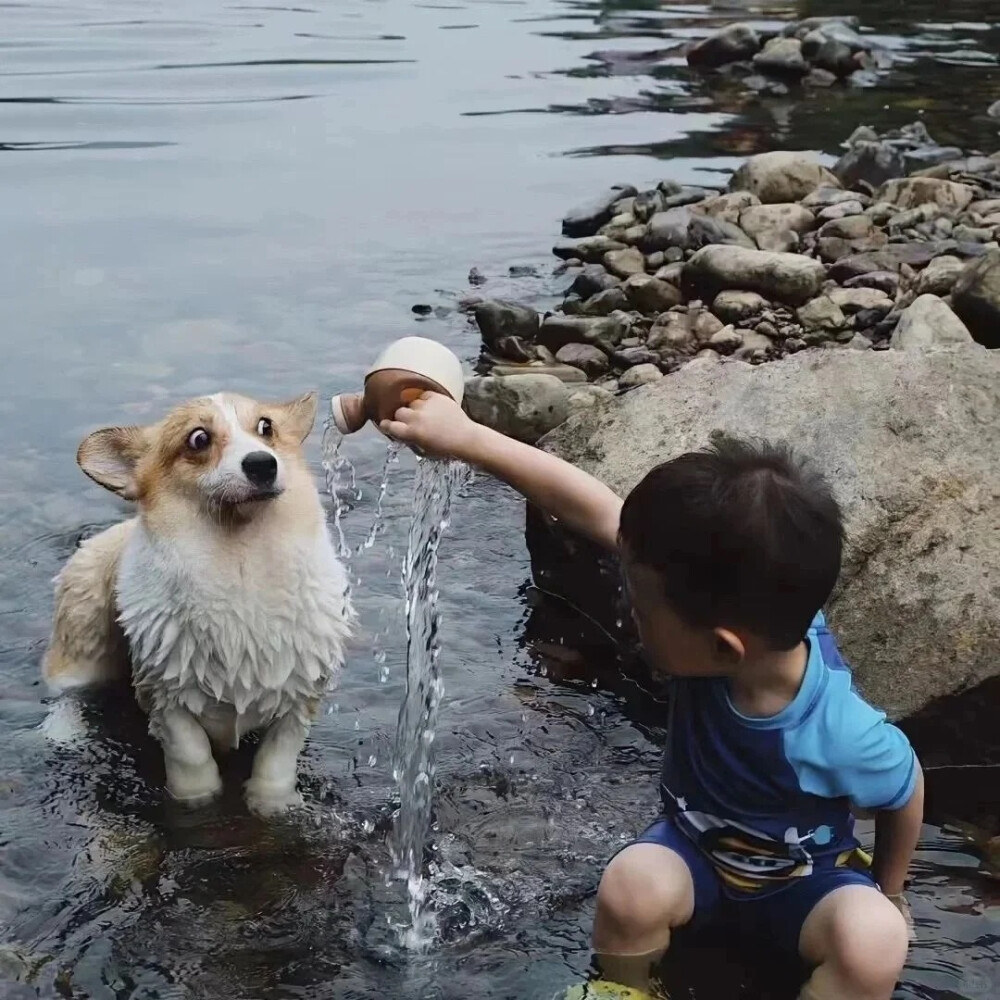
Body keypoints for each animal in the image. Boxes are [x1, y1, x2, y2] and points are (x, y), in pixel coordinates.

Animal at [44, 390, 356, 812]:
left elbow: (277, 759)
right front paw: (196, 799)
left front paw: (271, 803)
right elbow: (191, 756)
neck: (240, 561)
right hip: (81, 638)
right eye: (199, 439)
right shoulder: (167, 701)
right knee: (65, 693)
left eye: (266, 427)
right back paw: (61, 731)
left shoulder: (299, 699)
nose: (263, 464)